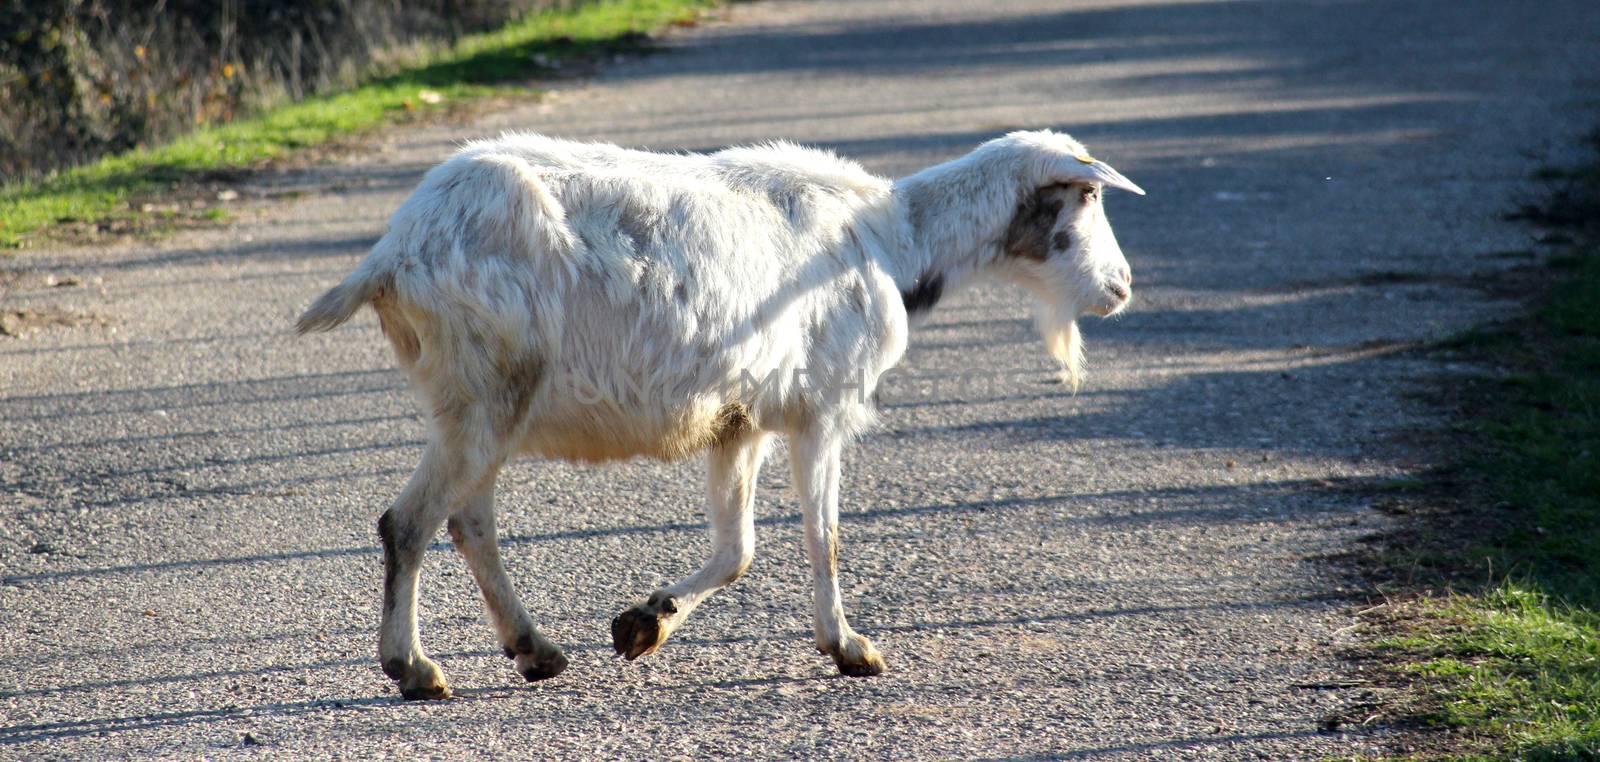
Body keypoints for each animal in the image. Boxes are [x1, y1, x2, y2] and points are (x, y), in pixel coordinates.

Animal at [300, 128, 1145, 697]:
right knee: (408, 522)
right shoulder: (821, 408)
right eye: (1087, 197)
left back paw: (535, 649)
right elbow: (824, 535)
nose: (1121, 287)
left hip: (475, 401)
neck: (893, 237)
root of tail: (395, 252)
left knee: (468, 521)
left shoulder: (739, 421)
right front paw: (848, 646)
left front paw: (645, 622)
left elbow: (738, 548)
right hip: (486, 392)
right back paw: (414, 668)